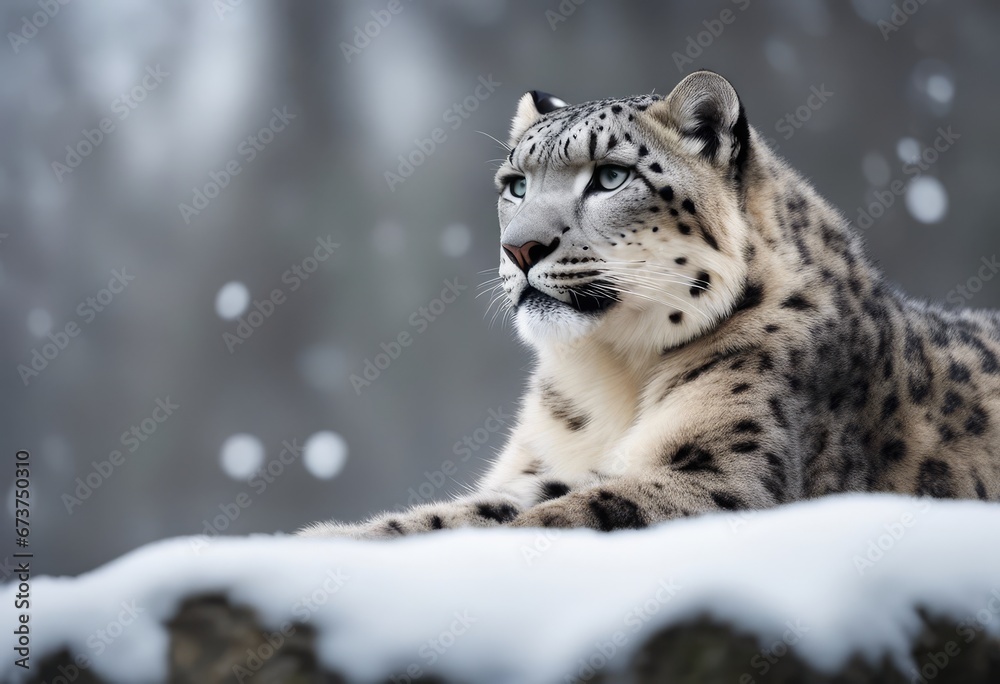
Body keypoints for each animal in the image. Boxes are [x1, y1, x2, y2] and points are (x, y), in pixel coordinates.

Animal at [300, 70, 1000, 539]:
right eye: (515, 184)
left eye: (611, 176)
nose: (519, 247)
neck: (610, 374)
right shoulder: (548, 465)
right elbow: (492, 505)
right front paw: (342, 536)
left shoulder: (723, 473)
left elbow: (573, 510)